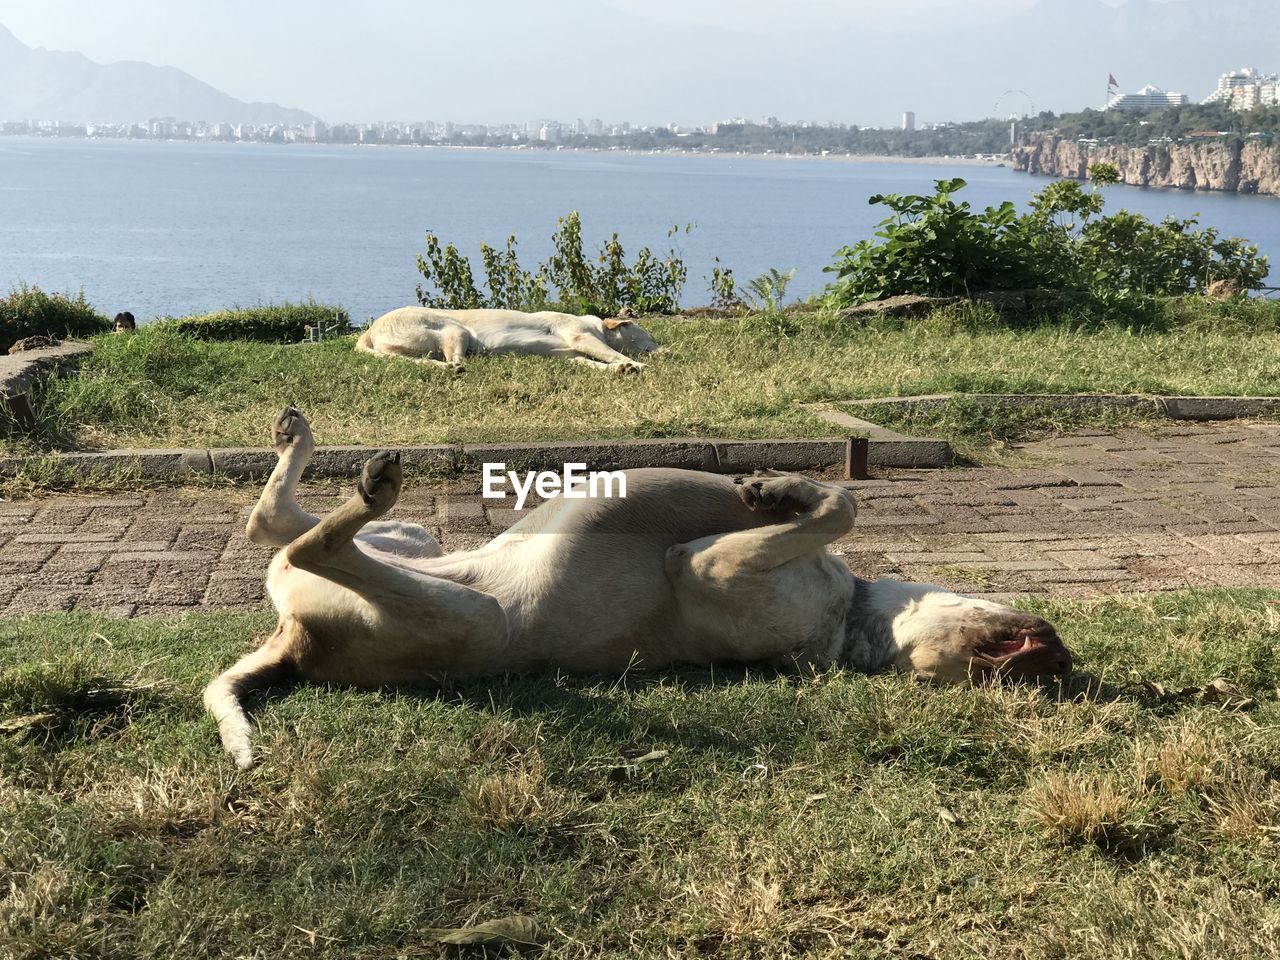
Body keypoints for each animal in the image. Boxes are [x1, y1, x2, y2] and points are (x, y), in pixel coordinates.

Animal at [204, 409, 1075, 773]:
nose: (1058, 657)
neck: (856, 619)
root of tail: (292, 645)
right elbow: (835, 504)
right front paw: (782, 486)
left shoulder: (707, 566)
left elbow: (843, 506)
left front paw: (784, 491)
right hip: (420, 545)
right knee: (278, 525)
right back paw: (305, 444)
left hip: (466, 616)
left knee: (301, 535)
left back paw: (367, 484)